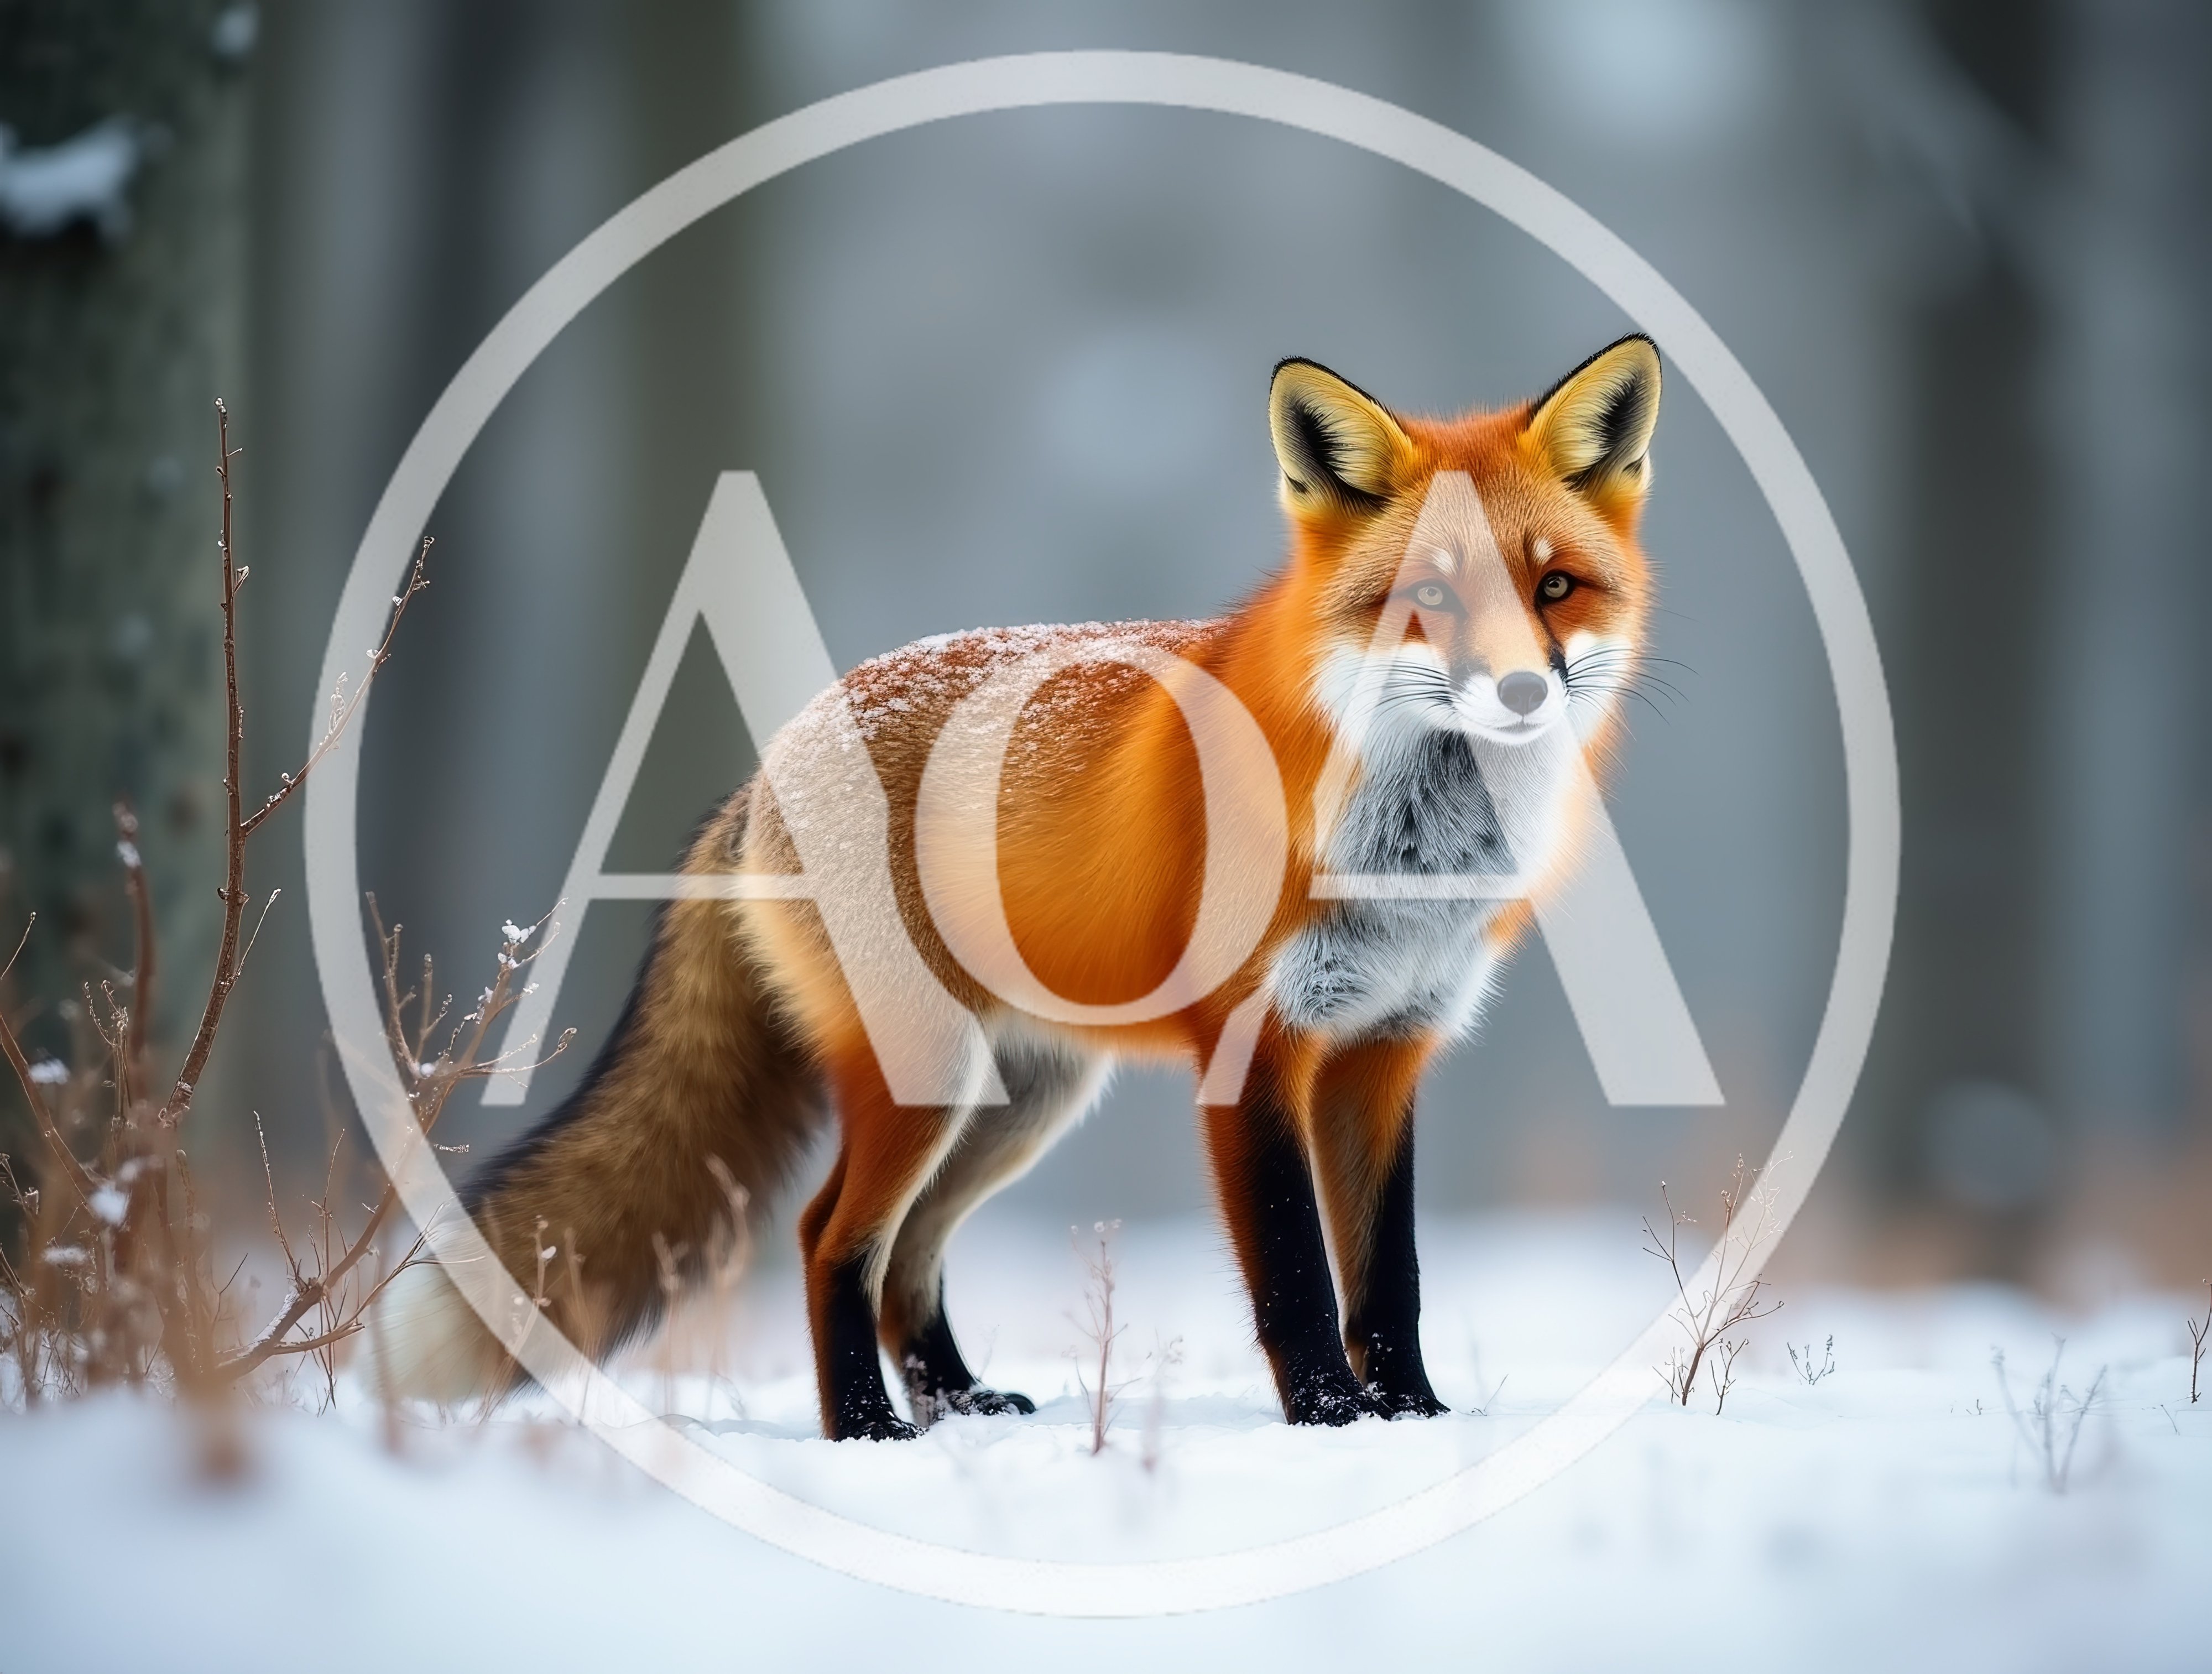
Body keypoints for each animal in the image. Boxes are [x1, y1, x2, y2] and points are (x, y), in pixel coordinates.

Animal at [374, 334, 1663, 1439]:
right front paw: (1330, 1420)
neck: (1406, 852)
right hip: (928, 1076)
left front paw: (1411, 1416)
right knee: (830, 1237)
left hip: (1019, 1100)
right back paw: (867, 1427)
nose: (1519, 691)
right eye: (1429, 597)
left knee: (907, 1257)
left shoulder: (1386, 1049)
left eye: (1553, 587)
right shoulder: (1253, 1048)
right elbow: (1297, 1271)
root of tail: (766, 761)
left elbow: (1388, 1274)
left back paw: (956, 1402)